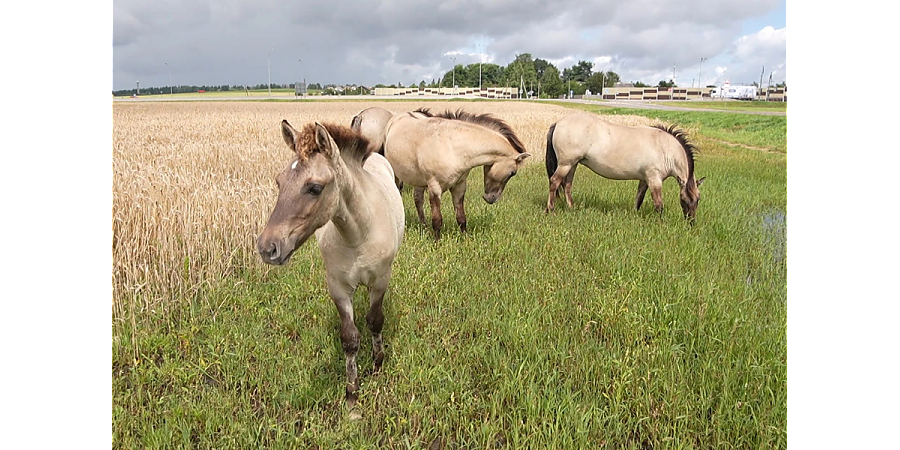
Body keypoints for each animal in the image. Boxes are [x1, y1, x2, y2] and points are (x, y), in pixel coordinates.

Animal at [257, 119, 405, 414]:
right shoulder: (338, 287)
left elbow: (375, 321)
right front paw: (352, 396)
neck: (358, 235)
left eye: (314, 187)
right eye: (279, 181)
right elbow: (349, 338)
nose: (268, 248)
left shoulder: (380, 280)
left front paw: (378, 364)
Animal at [383, 108, 531, 240]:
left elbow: (461, 217)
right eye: (513, 173)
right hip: (396, 175)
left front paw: (465, 239)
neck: (452, 146)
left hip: (418, 180)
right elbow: (437, 219)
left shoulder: (459, 187)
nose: (491, 199)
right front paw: (437, 242)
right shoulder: (435, 188)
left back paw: (424, 227)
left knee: (418, 200)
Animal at [544, 113, 705, 223]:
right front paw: (661, 222)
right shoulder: (654, 179)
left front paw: (634, 214)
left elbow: (639, 199)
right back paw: (550, 210)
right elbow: (659, 204)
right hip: (566, 164)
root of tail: (558, 123)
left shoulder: (644, 179)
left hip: (572, 164)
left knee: (567, 185)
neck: (665, 148)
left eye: (698, 199)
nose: (691, 222)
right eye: (684, 199)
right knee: (554, 182)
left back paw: (572, 208)